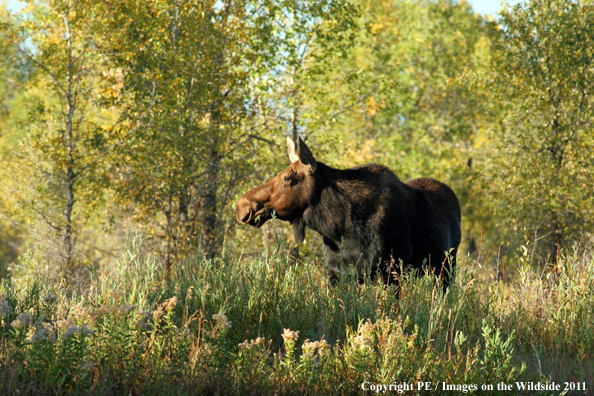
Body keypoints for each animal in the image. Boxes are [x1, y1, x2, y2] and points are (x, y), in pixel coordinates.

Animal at [234, 136, 460, 288]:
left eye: (288, 178)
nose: (242, 206)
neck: (339, 228)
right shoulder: (336, 274)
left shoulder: (390, 272)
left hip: (446, 268)